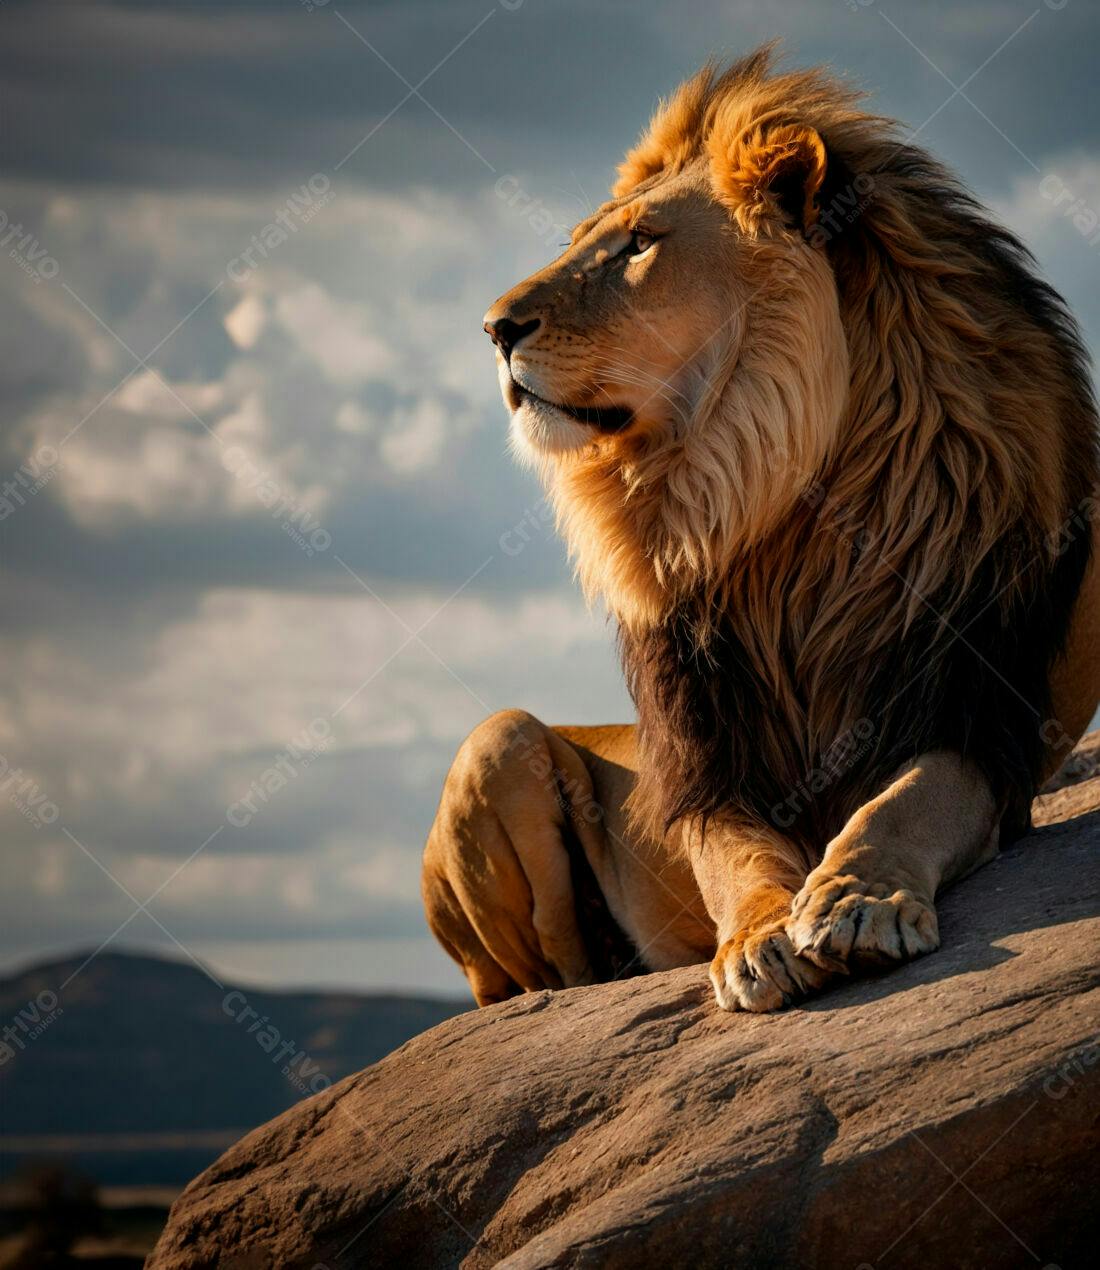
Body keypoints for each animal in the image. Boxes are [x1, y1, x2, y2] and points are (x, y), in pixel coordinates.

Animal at [422, 48, 1100, 1013]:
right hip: (500, 740)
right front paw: (758, 938)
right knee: (541, 975)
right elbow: (737, 860)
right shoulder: (707, 762)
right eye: (584, 240)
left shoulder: (978, 712)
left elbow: (907, 799)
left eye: (640, 243)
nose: (493, 328)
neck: (775, 496)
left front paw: (856, 901)